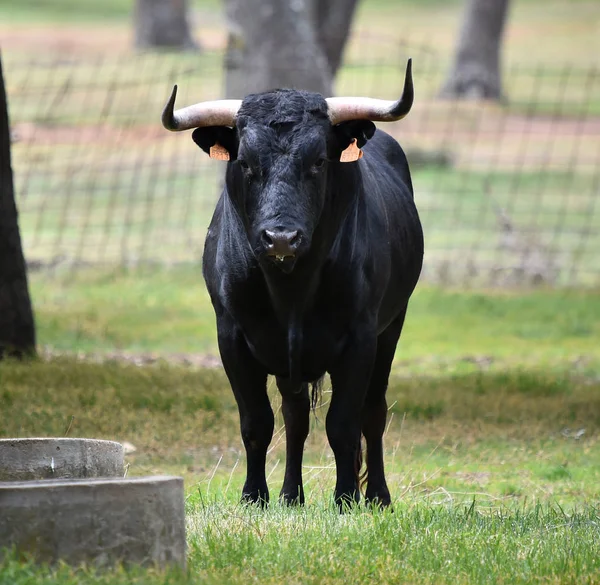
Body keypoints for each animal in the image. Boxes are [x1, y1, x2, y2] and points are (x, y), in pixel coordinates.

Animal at [162, 58, 424, 506]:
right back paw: (290, 495)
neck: (292, 291)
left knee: (373, 412)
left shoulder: (361, 337)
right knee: (296, 416)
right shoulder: (232, 336)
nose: (281, 238)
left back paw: (377, 495)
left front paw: (346, 498)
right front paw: (255, 496)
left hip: (393, 326)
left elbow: (343, 424)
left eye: (318, 161)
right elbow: (257, 423)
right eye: (246, 163)